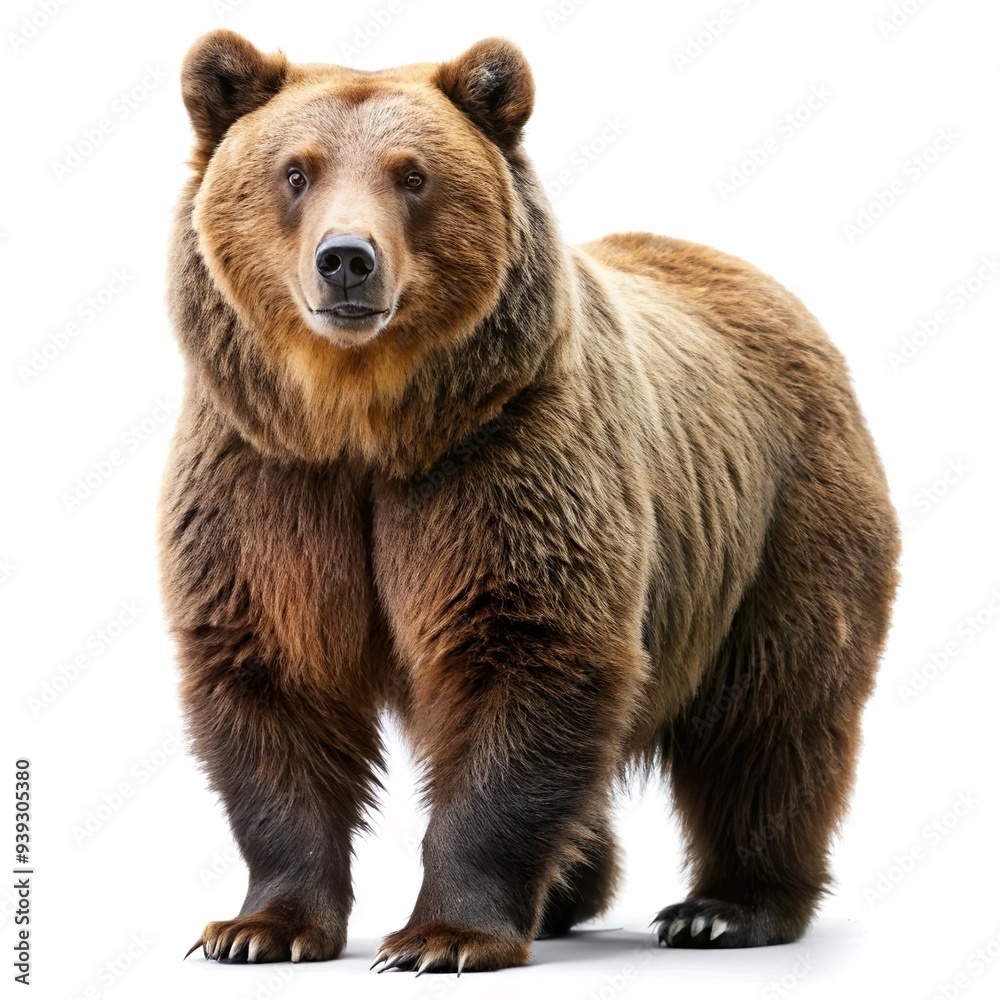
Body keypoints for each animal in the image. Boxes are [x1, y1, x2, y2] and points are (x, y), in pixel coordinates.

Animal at [159, 29, 900, 974]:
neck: (364, 426)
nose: (347, 259)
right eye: (297, 170)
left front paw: (445, 936)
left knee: (771, 719)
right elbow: (275, 674)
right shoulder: (269, 479)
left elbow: (525, 658)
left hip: (783, 521)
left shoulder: (506, 460)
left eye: (412, 174)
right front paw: (260, 928)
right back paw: (569, 895)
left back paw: (725, 907)